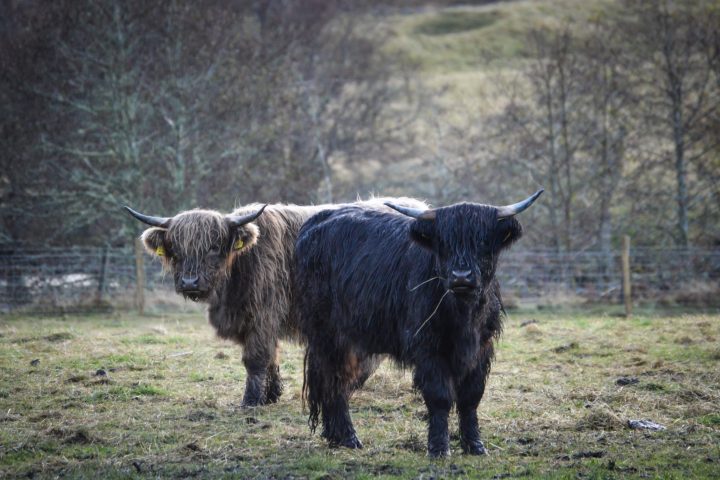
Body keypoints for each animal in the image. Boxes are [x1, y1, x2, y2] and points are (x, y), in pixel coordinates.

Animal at [123, 198, 426, 407]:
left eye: (213, 247)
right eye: (176, 250)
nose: (189, 282)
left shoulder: (264, 311)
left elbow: (256, 357)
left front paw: (250, 401)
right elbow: (272, 356)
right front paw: (271, 395)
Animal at [293, 190, 542, 456]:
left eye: (483, 241)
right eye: (443, 244)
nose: (461, 277)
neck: (463, 315)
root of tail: (318, 219)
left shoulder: (482, 348)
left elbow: (471, 396)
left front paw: (475, 445)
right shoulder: (427, 347)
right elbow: (439, 396)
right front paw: (439, 448)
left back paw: (336, 437)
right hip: (327, 334)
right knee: (334, 381)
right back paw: (348, 437)